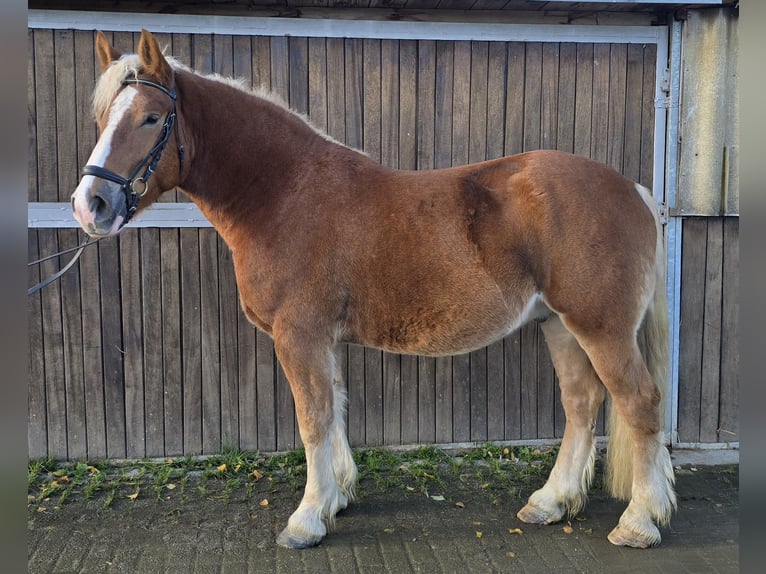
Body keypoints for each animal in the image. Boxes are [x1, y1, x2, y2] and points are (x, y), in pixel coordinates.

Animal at [72, 29, 680, 552]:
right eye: (101, 117)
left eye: (151, 118)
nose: (89, 205)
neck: (284, 192)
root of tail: (632, 189)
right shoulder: (323, 340)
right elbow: (335, 409)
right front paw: (337, 496)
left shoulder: (299, 335)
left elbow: (312, 418)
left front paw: (306, 519)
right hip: (558, 324)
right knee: (582, 404)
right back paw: (551, 502)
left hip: (600, 328)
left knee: (639, 403)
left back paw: (640, 522)